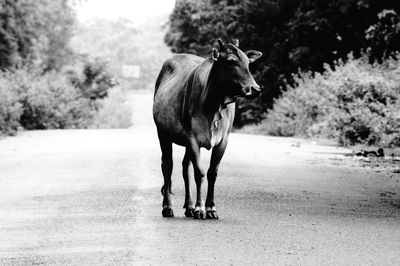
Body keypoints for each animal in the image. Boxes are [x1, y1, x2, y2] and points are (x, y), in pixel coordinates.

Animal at [153, 38, 262, 219]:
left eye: (248, 62)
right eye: (231, 61)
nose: (255, 89)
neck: (213, 105)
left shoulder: (223, 140)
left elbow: (212, 173)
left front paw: (210, 208)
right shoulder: (192, 138)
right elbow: (199, 173)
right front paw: (199, 208)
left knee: (185, 168)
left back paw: (189, 207)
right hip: (163, 134)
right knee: (167, 165)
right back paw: (168, 207)